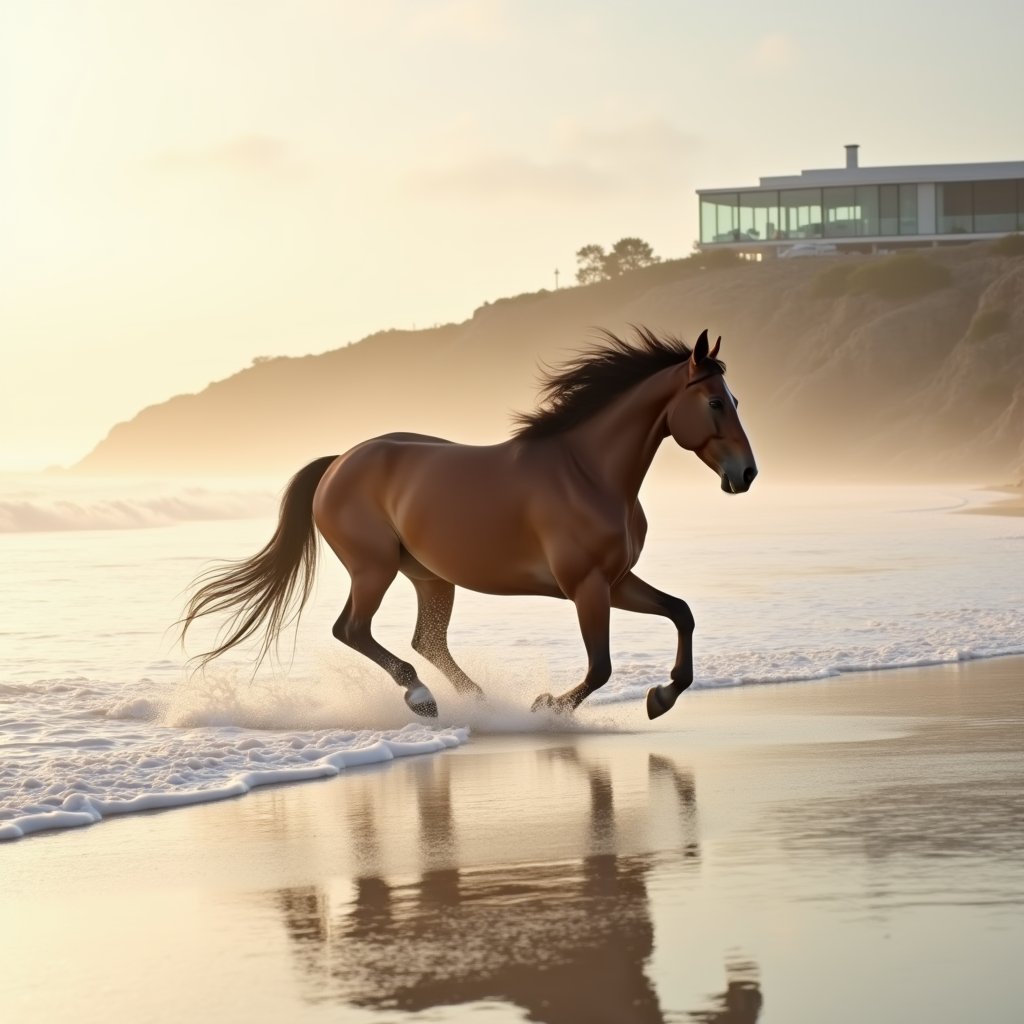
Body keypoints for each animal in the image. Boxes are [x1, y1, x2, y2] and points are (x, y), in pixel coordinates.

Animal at [181, 327, 757, 720]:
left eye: (735, 399)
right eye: (713, 402)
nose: (746, 474)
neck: (588, 473)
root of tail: (340, 461)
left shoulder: (615, 582)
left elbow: (681, 613)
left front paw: (662, 695)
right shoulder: (587, 586)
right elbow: (601, 666)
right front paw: (546, 706)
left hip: (430, 576)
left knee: (426, 641)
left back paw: (474, 700)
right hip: (373, 569)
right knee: (354, 629)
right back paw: (422, 697)